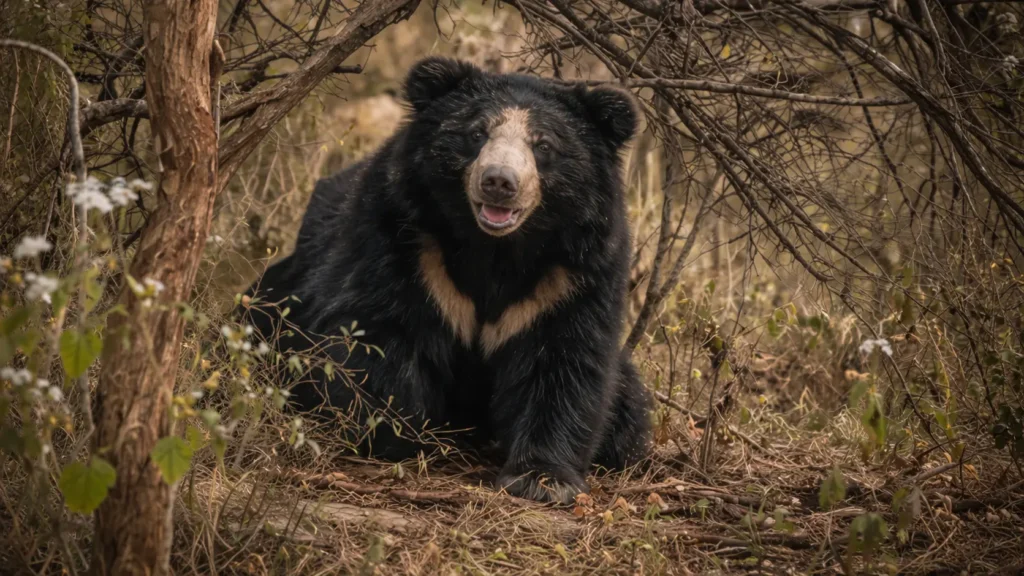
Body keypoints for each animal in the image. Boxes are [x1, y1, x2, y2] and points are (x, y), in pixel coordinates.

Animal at [242, 56, 652, 504]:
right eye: (477, 133)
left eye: (544, 145)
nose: (499, 182)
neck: (496, 249)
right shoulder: (402, 236)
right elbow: (377, 333)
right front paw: (395, 432)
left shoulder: (572, 274)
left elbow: (564, 359)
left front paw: (542, 478)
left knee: (628, 412)